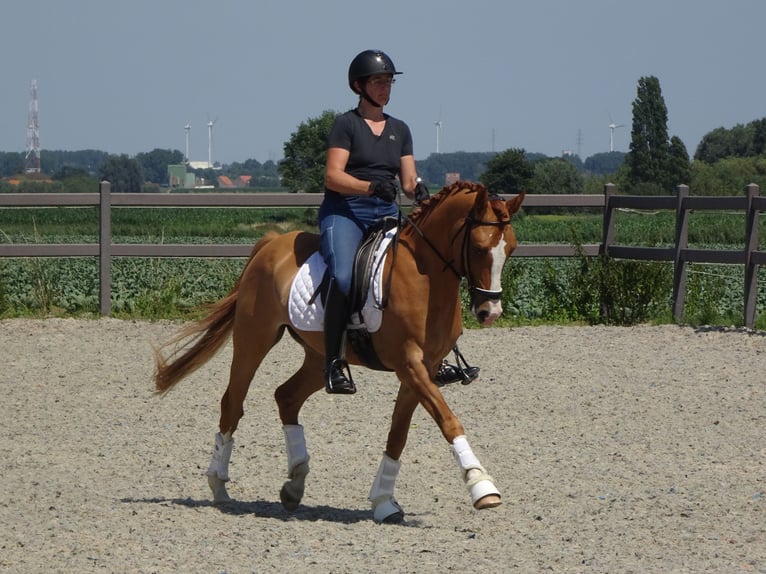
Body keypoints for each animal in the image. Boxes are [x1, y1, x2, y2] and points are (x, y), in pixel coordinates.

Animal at [156, 182, 528, 524]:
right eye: (479, 248)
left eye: (511, 248)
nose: (490, 312)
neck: (425, 275)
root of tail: (272, 242)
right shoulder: (409, 364)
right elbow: (448, 420)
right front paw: (482, 487)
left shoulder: (424, 367)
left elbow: (398, 433)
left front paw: (384, 502)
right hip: (254, 339)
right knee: (233, 402)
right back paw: (219, 485)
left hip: (318, 355)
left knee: (286, 396)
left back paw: (295, 485)